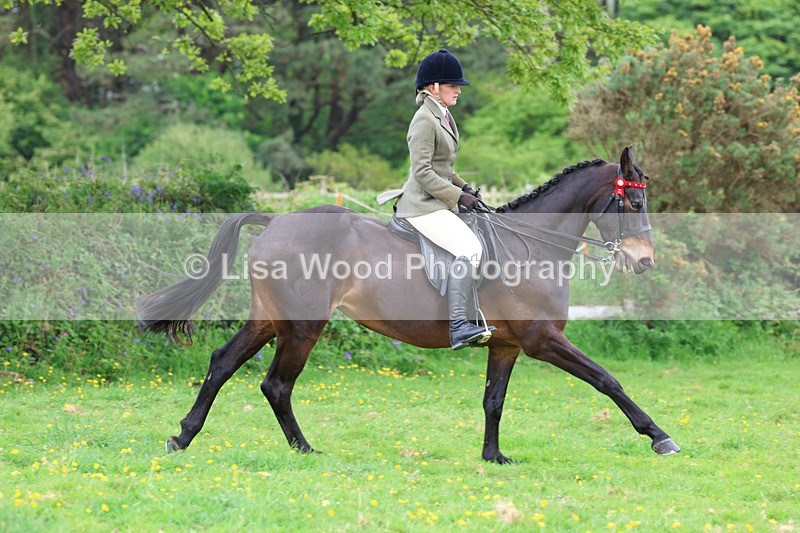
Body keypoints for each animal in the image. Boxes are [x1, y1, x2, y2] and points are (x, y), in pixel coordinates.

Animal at [136, 146, 680, 464]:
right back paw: (305, 449)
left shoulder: (506, 345)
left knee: (222, 362)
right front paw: (658, 435)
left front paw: (493, 457)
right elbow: (607, 380)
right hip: (303, 326)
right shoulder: (542, 339)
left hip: (270, 319)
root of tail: (275, 221)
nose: (645, 262)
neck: (531, 246)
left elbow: (494, 400)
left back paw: (182, 437)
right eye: (634, 203)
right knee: (276, 384)